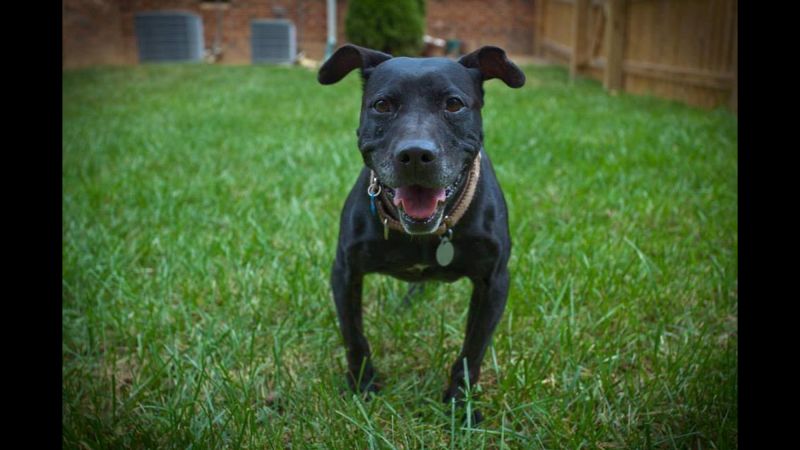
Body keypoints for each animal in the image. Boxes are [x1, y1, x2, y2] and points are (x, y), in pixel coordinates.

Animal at [318, 44, 524, 418]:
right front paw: (362, 387)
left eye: (453, 104)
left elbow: (473, 350)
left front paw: (460, 404)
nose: (415, 154)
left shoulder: (494, 283)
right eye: (382, 105)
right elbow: (354, 337)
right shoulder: (345, 272)